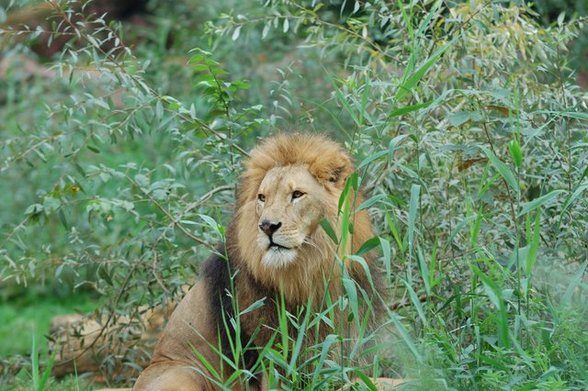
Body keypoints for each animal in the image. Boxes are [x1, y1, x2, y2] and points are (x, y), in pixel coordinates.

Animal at [133, 132, 382, 391]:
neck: (307, 273)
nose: (267, 226)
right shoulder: (269, 355)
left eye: (297, 194)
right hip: (184, 372)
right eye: (262, 198)